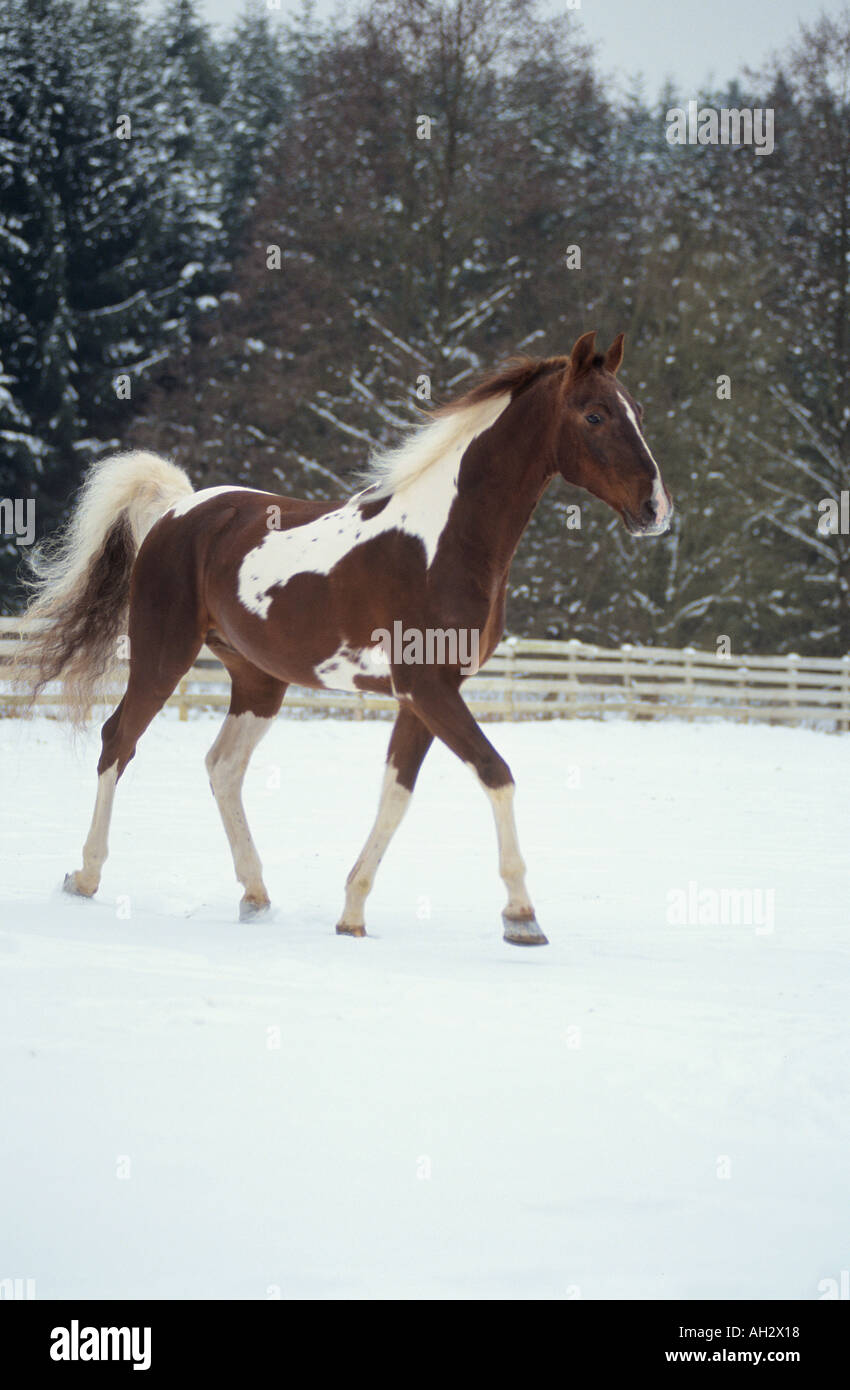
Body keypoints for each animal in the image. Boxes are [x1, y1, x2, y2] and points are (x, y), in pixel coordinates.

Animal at [14, 330, 669, 950]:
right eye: (594, 415)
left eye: (637, 409)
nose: (655, 509)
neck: (446, 541)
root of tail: (179, 510)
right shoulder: (430, 691)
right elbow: (495, 772)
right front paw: (521, 918)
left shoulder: (422, 697)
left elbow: (396, 795)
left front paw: (352, 915)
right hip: (161, 657)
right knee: (117, 741)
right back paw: (85, 878)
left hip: (258, 680)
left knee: (223, 766)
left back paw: (255, 895)